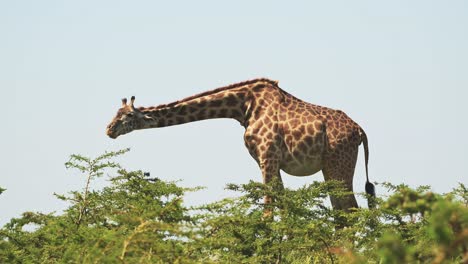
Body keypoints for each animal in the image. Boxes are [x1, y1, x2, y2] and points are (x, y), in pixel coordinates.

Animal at [106, 77, 376, 213]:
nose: (109, 130)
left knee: (351, 211)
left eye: (127, 116)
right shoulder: (266, 160)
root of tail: (360, 131)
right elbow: (282, 203)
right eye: (116, 113)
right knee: (342, 212)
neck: (243, 108)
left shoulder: (268, 156)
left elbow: (268, 204)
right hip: (330, 168)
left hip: (338, 165)